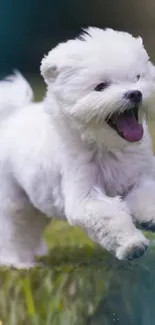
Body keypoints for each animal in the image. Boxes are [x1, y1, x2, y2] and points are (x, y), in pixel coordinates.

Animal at [0, 27, 155, 266]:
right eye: (101, 86)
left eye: (137, 77)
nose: (135, 93)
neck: (106, 146)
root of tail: (10, 117)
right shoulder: (84, 194)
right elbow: (109, 216)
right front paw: (132, 245)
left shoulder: (140, 176)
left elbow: (145, 196)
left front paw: (149, 219)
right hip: (13, 201)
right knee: (14, 230)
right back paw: (18, 263)